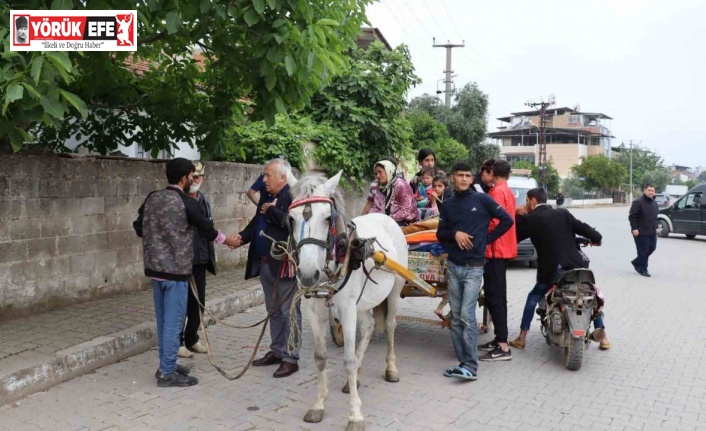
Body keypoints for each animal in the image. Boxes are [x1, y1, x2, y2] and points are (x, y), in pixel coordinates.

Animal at [288, 172, 408, 431]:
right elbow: (320, 358)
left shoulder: (347, 312)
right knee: (369, 326)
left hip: (395, 289)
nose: (308, 274)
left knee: (390, 325)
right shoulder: (314, 312)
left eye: (327, 218)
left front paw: (355, 415)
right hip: (361, 303)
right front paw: (319, 404)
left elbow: (349, 360)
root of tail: (386, 216)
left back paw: (391, 368)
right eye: (291, 219)